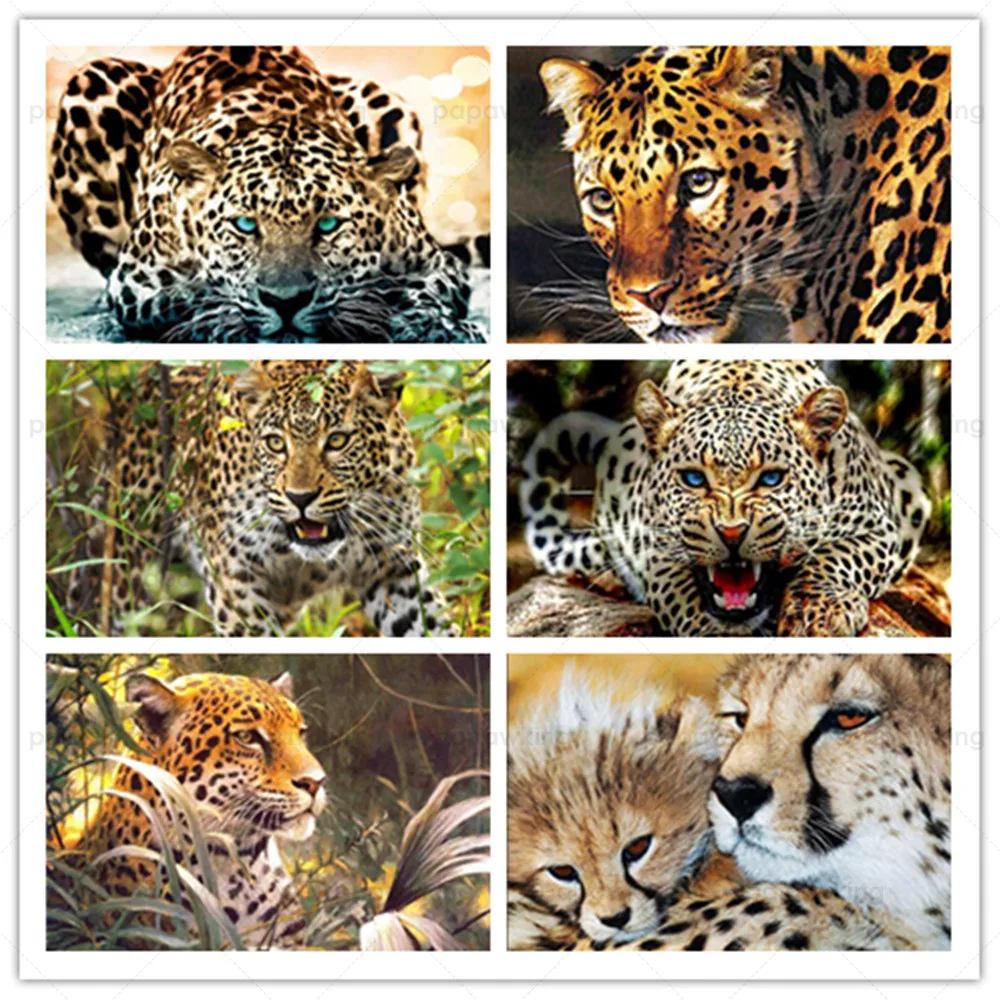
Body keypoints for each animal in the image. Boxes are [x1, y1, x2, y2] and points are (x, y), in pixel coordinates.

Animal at [50, 45, 485, 343]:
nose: (286, 301)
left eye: (328, 224)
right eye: (244, 225)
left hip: (384, 102)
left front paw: (435, 326)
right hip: (93, 83)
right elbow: (190, 297)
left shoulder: (435, 262)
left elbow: (426, 290)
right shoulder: (135, 283)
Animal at [64, 360, 455, 637]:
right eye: (275, 443)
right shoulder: (236, 584)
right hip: (128, 577)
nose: (301, 498)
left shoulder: (394, 568)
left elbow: (434, 629)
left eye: (338, 441)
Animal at [520, 359, 930, 637]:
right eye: (693, 478)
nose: (732, 533)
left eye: (771, 478)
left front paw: (818, 612)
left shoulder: (877, 524)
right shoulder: (653, 545)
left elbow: (837, 557)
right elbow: (680, 594)